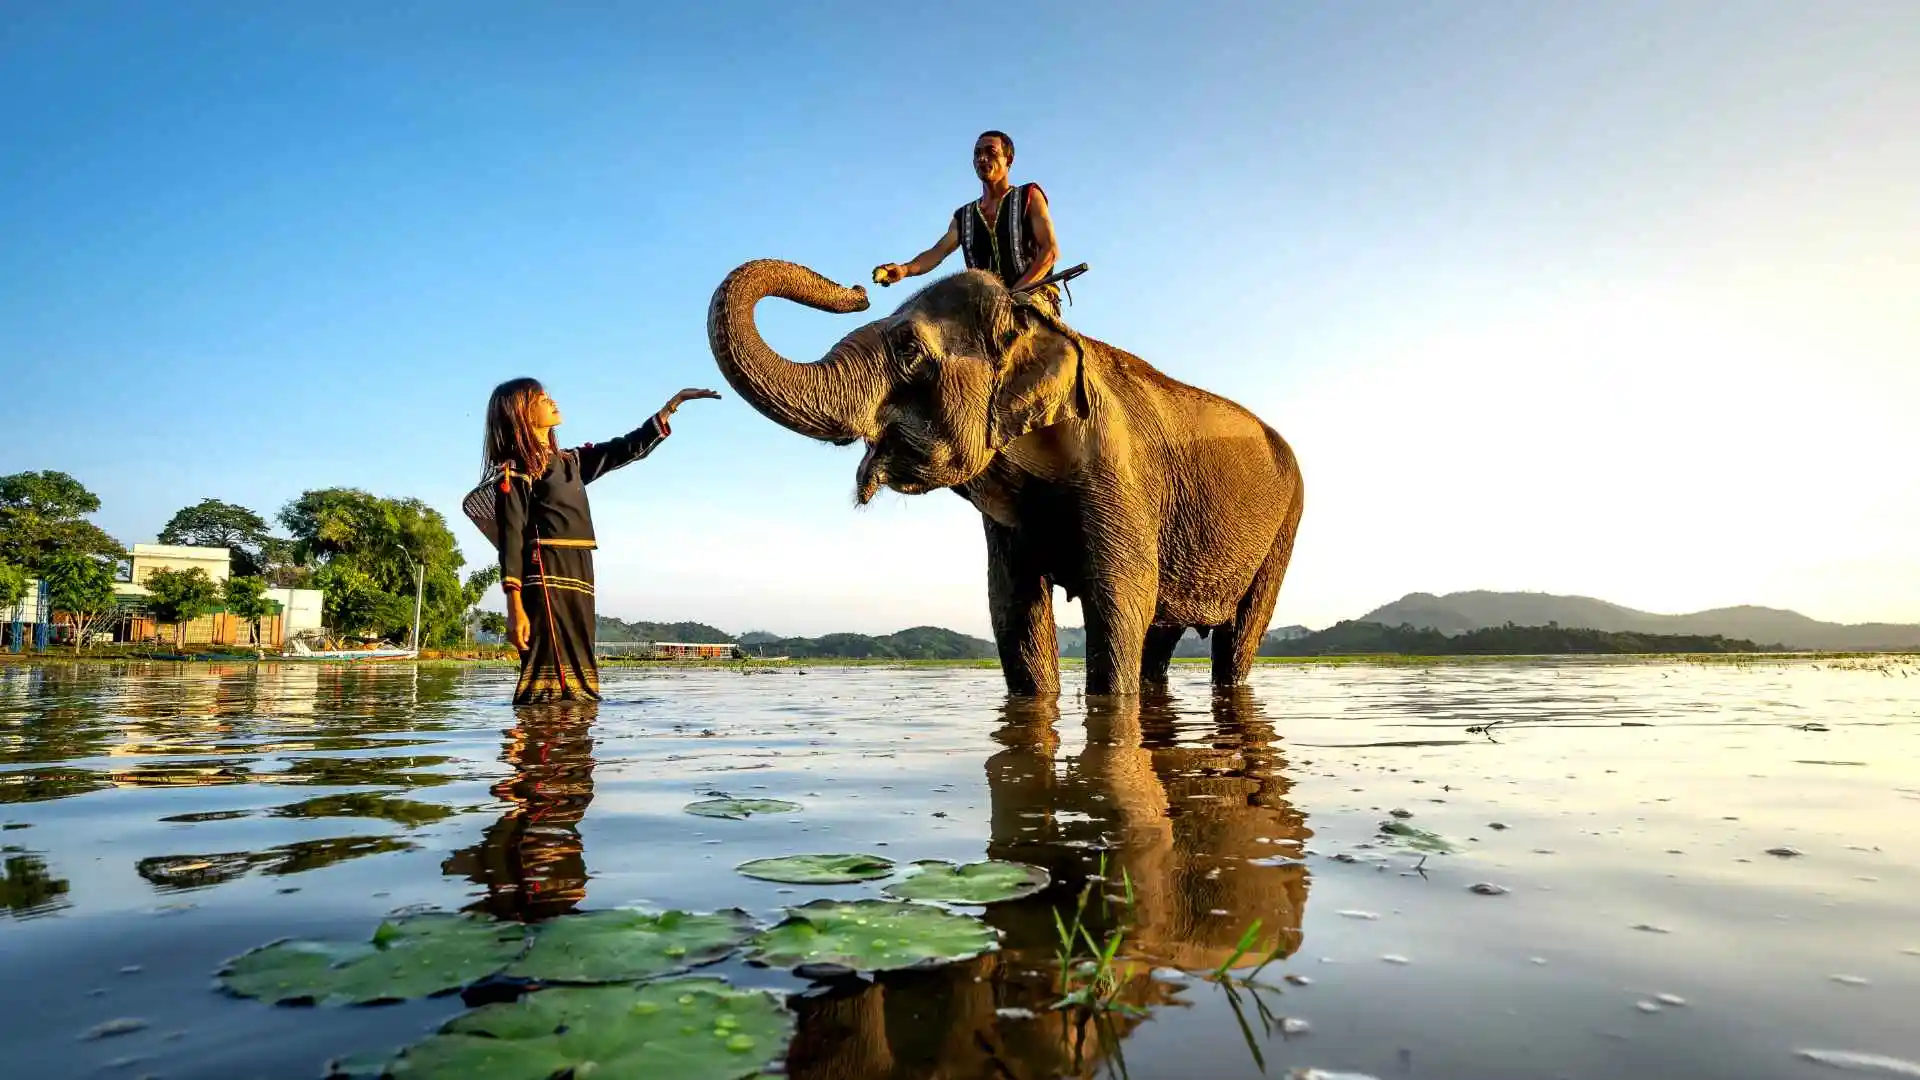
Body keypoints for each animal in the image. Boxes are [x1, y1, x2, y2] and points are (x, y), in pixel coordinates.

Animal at [707, 259, 1304, 696]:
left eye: (909, 350)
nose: (862, 286)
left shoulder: (1121, 474)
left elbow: (1120, 601)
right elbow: (1013, 607)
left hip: (1286, 525)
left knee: (1240, 633)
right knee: (1163, 632)